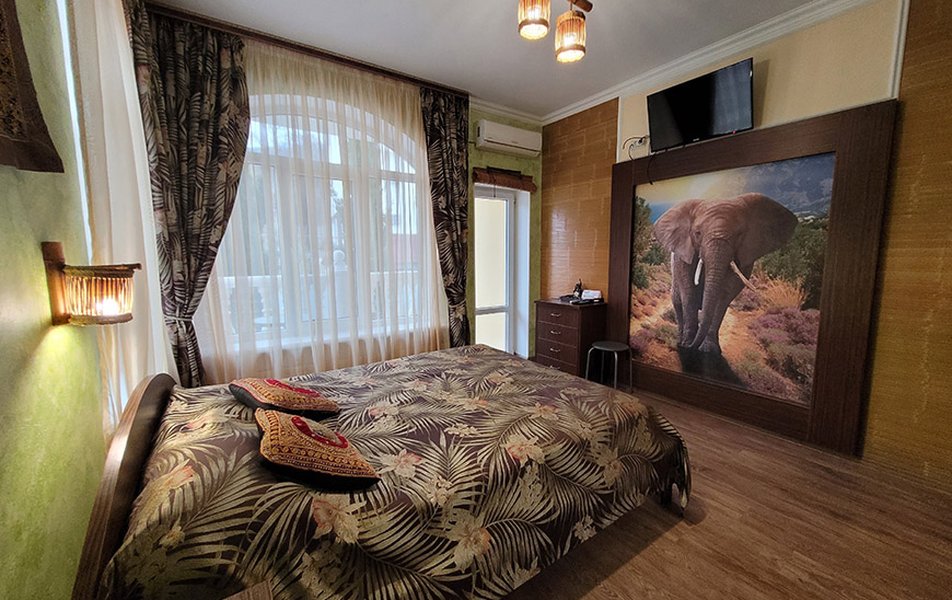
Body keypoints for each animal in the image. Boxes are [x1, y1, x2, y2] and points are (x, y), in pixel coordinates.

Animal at [652, 192, 797, 354]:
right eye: (697, 233)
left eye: (740, 234)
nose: (689, 347)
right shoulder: (683, 252)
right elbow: (688, 289)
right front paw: (687, 344)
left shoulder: (746, 256)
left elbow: (726, 294)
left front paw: (709, 350)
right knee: (678, 303)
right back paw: (680, 340)